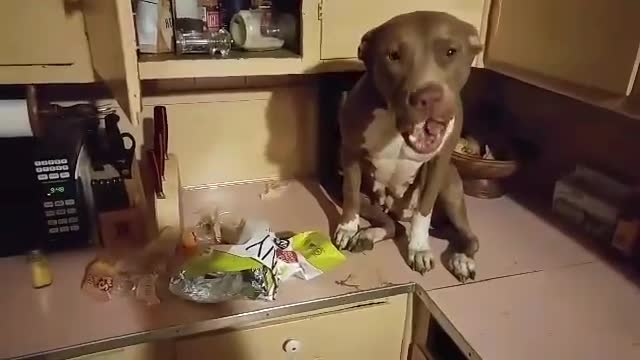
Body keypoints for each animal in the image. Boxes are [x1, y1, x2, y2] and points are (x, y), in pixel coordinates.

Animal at [336, 10, 480, 282]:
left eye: (451, 52)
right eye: (393, 55)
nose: (428, 97)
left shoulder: (438, 165)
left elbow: (423, 212)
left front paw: (420, 248)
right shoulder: (349, 154)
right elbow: (350, 196)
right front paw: (348, 228)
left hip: (450, 186)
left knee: (469, 237)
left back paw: (461, 259)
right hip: (369, 197)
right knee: (392, 225)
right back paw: (367, 235)